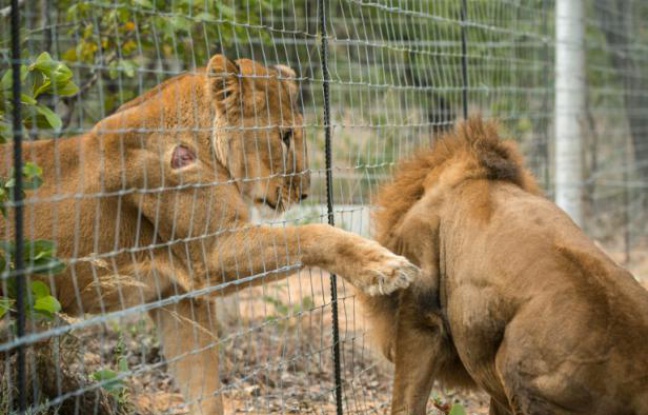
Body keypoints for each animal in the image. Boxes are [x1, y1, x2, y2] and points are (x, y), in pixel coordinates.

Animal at [0, 55, 419, 414]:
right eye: (285, 136)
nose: (303, 193)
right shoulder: (213, 253)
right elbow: (315, 233)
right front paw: (384, 266)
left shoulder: (178, 296)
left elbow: (204, 387)